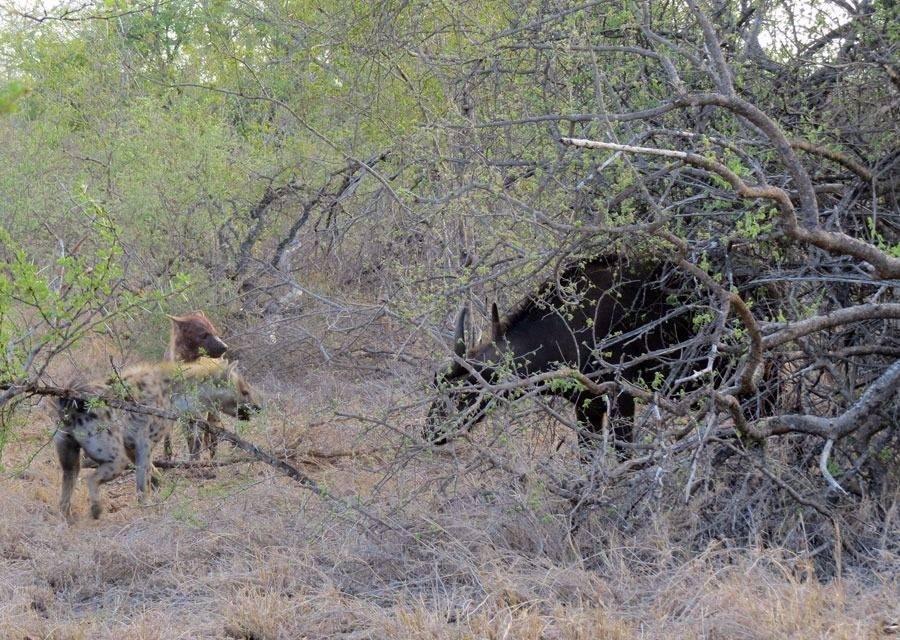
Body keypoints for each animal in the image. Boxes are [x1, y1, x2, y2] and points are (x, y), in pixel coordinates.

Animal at [426, 255, 728, 456]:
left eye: (463, 392)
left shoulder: (619, 398)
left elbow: (622, 456)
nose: (430, 431)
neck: (563, 331)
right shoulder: (586, 407)